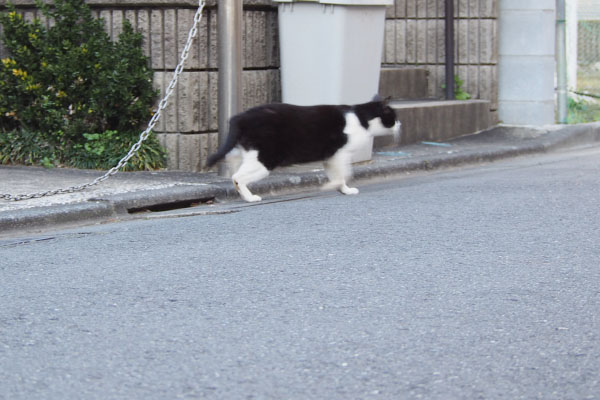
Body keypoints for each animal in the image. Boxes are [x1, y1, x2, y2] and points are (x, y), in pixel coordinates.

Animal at [206, 95, 398, 203]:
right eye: (394, 118)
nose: (400, 125)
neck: (361, 118)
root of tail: (239, 117)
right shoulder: (340, 154)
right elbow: (345, 173)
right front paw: (333, 187)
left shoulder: (331, 157)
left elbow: (338, 175)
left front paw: (342, 189)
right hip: (265, 159)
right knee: (237, 177)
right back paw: (250, 197)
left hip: (245, 151)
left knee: (232, 163)